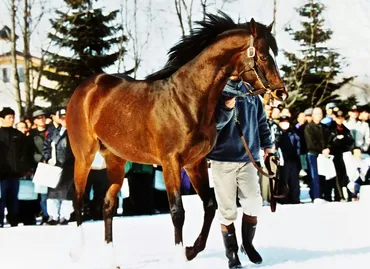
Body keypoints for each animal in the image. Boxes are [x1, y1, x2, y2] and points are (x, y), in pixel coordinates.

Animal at [66, 12, 286, 266]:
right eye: (263, 55)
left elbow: (210, 205)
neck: (187, 99)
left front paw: (191, 250)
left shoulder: (195, 163)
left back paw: (113, 261)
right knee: (78, 199)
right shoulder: (171, 163)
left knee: (108, 205)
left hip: (116, 160)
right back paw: (76, 252)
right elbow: (177, 212)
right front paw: (181, 255)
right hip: (84, 156)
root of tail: (86, 87)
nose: (281, 92)